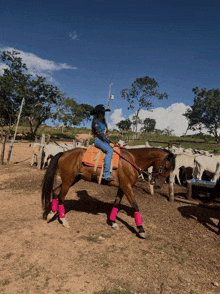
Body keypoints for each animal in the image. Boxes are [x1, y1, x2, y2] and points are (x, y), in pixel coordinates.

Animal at [41, 147, 175, 239]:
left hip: (72, 180)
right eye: (166, 167)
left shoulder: (122, 187)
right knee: (61, 197)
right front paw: (141, 230)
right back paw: (63, 220)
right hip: (68, 181)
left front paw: (113, 222)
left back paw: (51, 214)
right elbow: (135, 205)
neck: (132, 160)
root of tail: (64, 153)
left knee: (55, 191)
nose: (158, 185)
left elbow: (116, 203)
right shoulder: (127, 187)